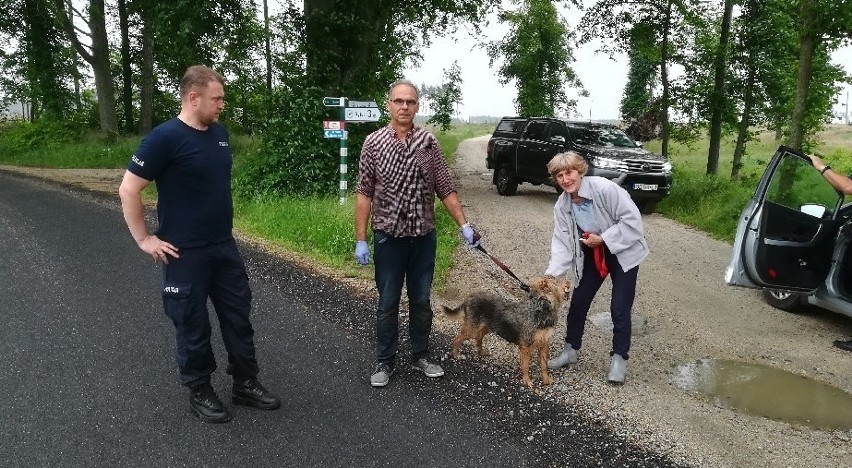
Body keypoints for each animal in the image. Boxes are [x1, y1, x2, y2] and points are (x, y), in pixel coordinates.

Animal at [440, 276, 572, 390]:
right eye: (557, 281)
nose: (569, 282)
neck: (541, 309)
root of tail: (469, 297)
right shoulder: (526, 346)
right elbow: (525, 366)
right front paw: (527, 381)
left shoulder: (544, 344)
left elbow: (544, 366)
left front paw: (546, 380)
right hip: (472, 329)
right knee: (457, 338)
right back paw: (456, 354)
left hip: (486, 327)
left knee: (478, 338)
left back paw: (481, 352)